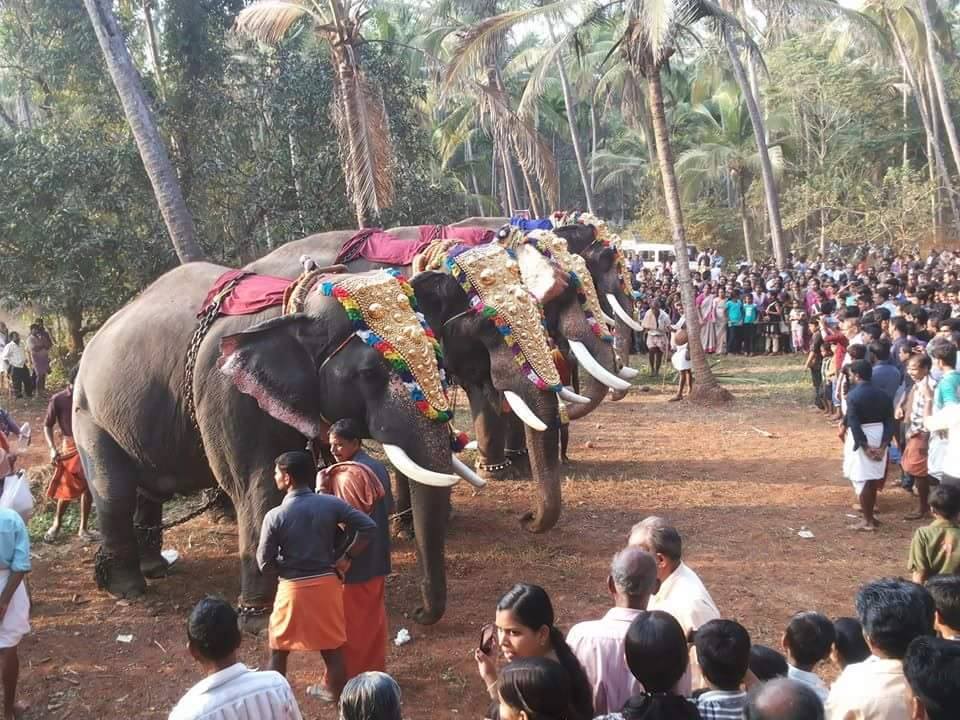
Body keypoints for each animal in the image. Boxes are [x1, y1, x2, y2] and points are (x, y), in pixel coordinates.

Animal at [74, 260, 480, 624]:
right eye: (369, 373)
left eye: (440, 364)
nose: (419, 615)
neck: (297, 304)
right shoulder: (227, 395)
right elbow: (255, 487)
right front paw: (256, 617)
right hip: (88, 415)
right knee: (115, 493)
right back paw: (129, 589)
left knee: (148, 492)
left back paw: (154, 569)